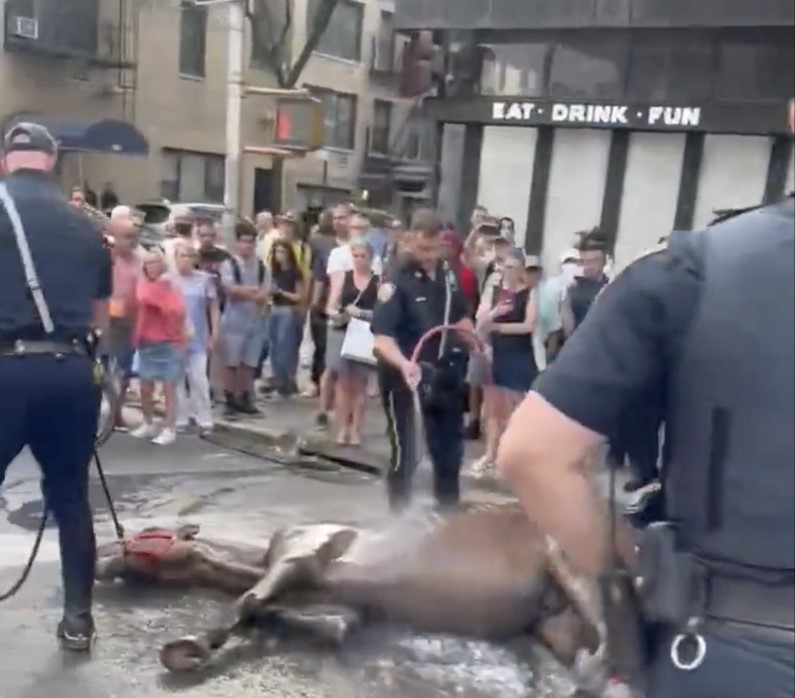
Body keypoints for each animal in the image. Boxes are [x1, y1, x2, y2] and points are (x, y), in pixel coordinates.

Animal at [96, 502, 648, 692]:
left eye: (149, 532)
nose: (101, 558)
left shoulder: (303, 551)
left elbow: (250, 601)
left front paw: (191, 648)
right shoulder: (347, 609)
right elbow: (320, 624)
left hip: (570, 559)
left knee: (608, 641)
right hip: (554, 623)